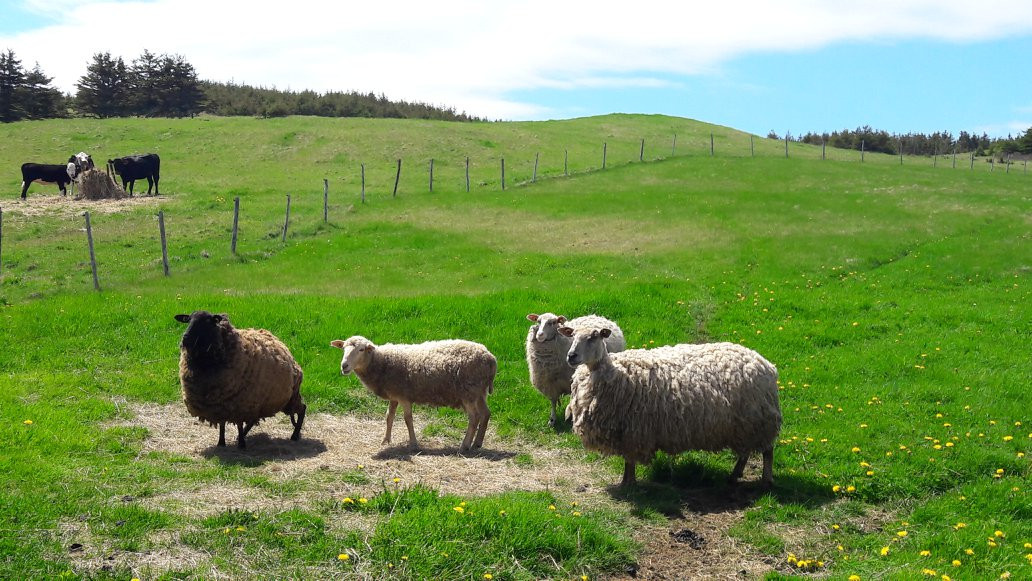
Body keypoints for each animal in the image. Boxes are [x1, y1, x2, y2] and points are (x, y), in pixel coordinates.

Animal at [175, 309, 305, 449]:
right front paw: (221, 442)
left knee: (302, 409)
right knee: (253, 419)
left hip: (289, 397)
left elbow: (238, 424)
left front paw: (241, 444)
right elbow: (222, 424)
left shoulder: (240, 402)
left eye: (207, 321)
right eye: (188, 320)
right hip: (261, 403)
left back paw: (295, 435)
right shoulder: (221, 403)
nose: (185, 339)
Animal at [328, 336, 493, 454]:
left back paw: (465, 446)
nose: (344, 366)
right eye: (343, 348)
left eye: (361, 349)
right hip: (479, 392)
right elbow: (389, 417)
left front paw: (413, 444)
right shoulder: (394, 396)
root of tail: (491, 358)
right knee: (486, 413)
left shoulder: (403, 396)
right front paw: (386, 440)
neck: (381, 362)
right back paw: (477, 443)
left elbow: (408, 419)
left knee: (474, 417)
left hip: (468, 392)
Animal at [561, 326, 776, 489]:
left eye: (593, 336)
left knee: (767, 451)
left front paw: (629, 484)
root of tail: (766, 364)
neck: (615, 372)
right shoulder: (628, 431)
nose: (571, 356)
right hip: (746, 424)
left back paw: (765, 480)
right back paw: (734, 475)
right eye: (572, 335)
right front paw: (626, 482)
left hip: (760, 421)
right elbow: (628, 460)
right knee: (746, 451)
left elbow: (630, 460)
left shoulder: (634, 431)